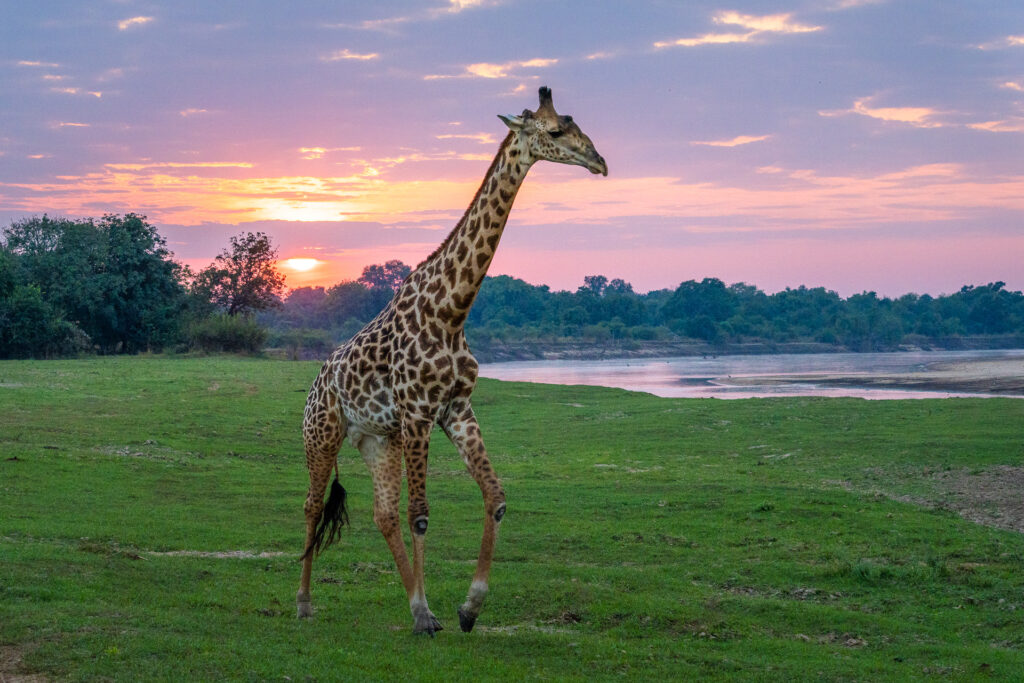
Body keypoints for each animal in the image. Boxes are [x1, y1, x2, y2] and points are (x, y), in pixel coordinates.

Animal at [297, 86, 607, 635]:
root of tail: (317, 380)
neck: (452, 310)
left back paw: (416, 603)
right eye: (554, 131)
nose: (599, 161)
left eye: (576, 123)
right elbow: (422, 513)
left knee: (382, 513)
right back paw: (305, 602)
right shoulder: (420, 412)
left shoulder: (456, 408)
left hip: (377, 439)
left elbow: (495, 497)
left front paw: (465, 608)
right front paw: (429, 614)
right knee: (313, 507)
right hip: (323, 434)